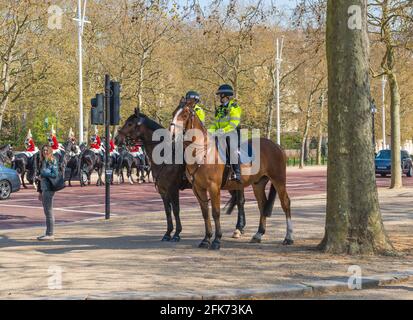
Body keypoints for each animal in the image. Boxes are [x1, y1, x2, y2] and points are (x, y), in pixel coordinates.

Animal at [114, 109, 246, 241]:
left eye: (130, 123)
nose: (116, 139)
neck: (165, 154)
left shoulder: (173, 189)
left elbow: (176, 210)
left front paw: (177, 233)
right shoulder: (163, 191)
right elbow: (168, 211)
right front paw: (168, 233)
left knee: (240, 202)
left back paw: (238, 228)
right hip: (228, 185)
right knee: (238, 201)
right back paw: (240, 227)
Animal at [171, 100, 292, 250]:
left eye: (185, 114)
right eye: (174, 112)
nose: (171, 134)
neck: (203, 152)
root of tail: (277, 146)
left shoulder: (213, 187)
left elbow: (215, 212)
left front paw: (217, 240)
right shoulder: (198, 189)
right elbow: (205, 213)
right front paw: (206, 239)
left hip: (278, 180)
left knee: (285, 203)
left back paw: (288, 237)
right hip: (258, 183)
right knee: (262, 205)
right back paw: (258, 234)